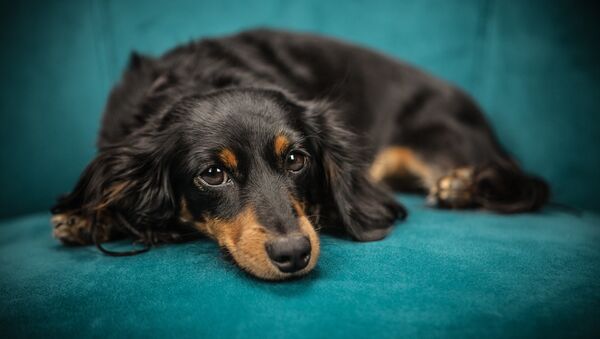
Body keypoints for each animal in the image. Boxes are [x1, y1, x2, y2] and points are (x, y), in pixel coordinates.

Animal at [51, 29, 548, 280]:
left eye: (295, 160)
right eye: (212, 173)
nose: (293, 254)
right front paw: (86, 216)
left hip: (435, 138)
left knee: (524, 183)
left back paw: (462, 185)